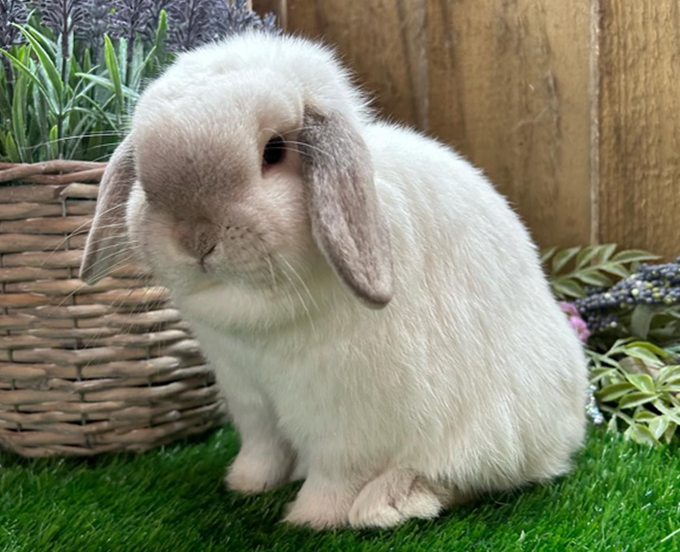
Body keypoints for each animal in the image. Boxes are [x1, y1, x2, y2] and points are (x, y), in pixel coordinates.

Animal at [80, 30, 588, 530]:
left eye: (274, 151)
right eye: (144, 174)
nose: (195, 238)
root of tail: (568, 427)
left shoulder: (344, 421)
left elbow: (338, 475)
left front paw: (312, 519)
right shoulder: (250, 399)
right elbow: (263, 450)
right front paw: (245, 485)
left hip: (493, 433)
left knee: (472, 478)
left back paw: (393, 501)